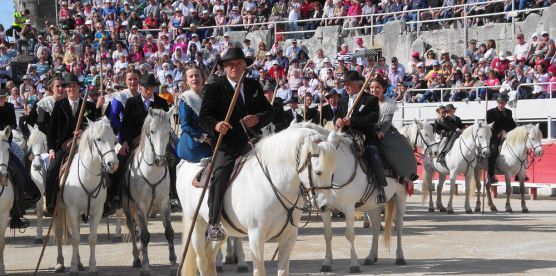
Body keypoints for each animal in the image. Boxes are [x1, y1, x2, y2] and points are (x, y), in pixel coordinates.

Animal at [54, 117, 119, 274]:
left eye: (114, 139)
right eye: (99, 139)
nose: (112, 164)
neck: (87, 177)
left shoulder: (97, 212)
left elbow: (92, 239)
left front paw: (92, 266)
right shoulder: (72, 209)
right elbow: (76, 239)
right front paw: (72, 268)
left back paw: (80, 263)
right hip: (60, 209)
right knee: (59, 233)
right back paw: (60, 263)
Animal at [122, 106, 177, 274]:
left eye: (168, 131)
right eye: (152, 131)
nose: (160, 160)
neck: (152, 171)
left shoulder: (163, 202)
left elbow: (169, 232)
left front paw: (174, 264)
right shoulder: (140, 205)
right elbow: (145, 235)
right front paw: (145, 266)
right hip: (127, 204)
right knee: (132, 226)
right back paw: (136, 258)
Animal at [177, 127, 338, 276]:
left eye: (333, 172)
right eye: (318, 172)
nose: (325, 206)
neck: (274, 184)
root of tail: (185, 162)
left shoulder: (288, 237)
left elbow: (283, 270)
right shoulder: (256, 237)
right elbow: (259, 271)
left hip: (223, 231)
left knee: (209, 255)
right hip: (197, 223)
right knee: (201, 260)